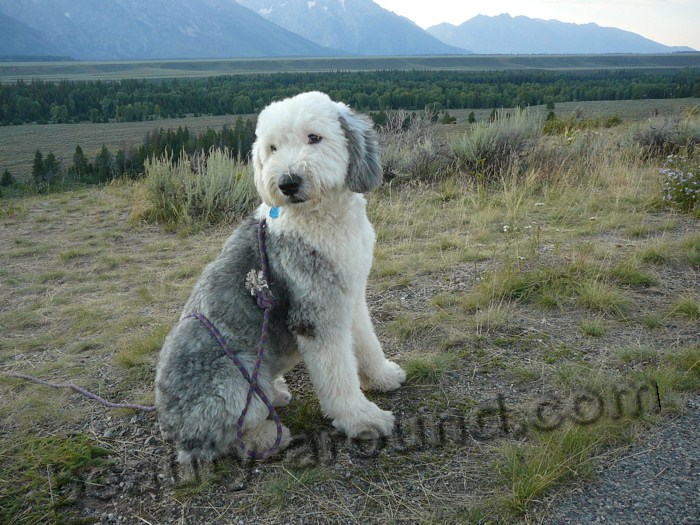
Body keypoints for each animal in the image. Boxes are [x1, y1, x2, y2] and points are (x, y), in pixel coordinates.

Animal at [153, 92, 404, 464]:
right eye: (272, 148)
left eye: (314, 137)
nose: (287, 182)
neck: (318, 220)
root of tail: (173, 430)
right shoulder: (316, 316)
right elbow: (338, 375)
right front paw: (362, 419)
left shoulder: (351, 297)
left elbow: (367, 342)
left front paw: (383, 376)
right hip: (234, 374)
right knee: (229, 437)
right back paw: (270, 435)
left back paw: (278, 393)